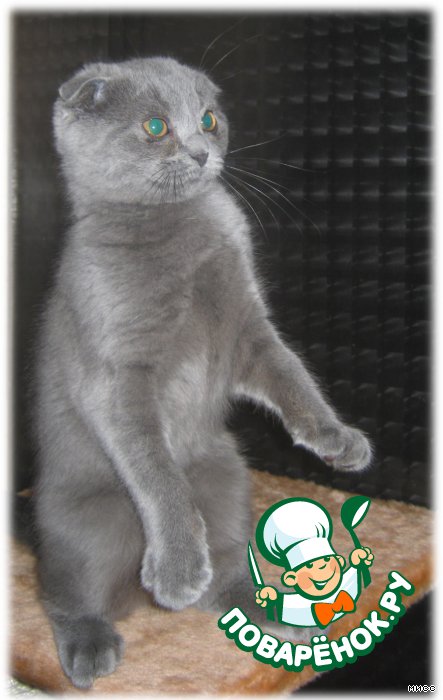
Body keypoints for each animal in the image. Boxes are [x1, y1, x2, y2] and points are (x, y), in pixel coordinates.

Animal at [33, 56, 371, 689]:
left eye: (209, 118)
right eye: (156, 126)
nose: (199, 152)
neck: (177, 228)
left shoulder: (248, 331)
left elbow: (291, 374)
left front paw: (336, 438)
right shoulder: (118, 376)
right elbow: (156, 472)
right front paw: (177, 566)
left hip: (228, 479)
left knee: (229, 563)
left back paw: (267, 610)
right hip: (86, 525)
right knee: (65, 590)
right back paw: (91, 644)